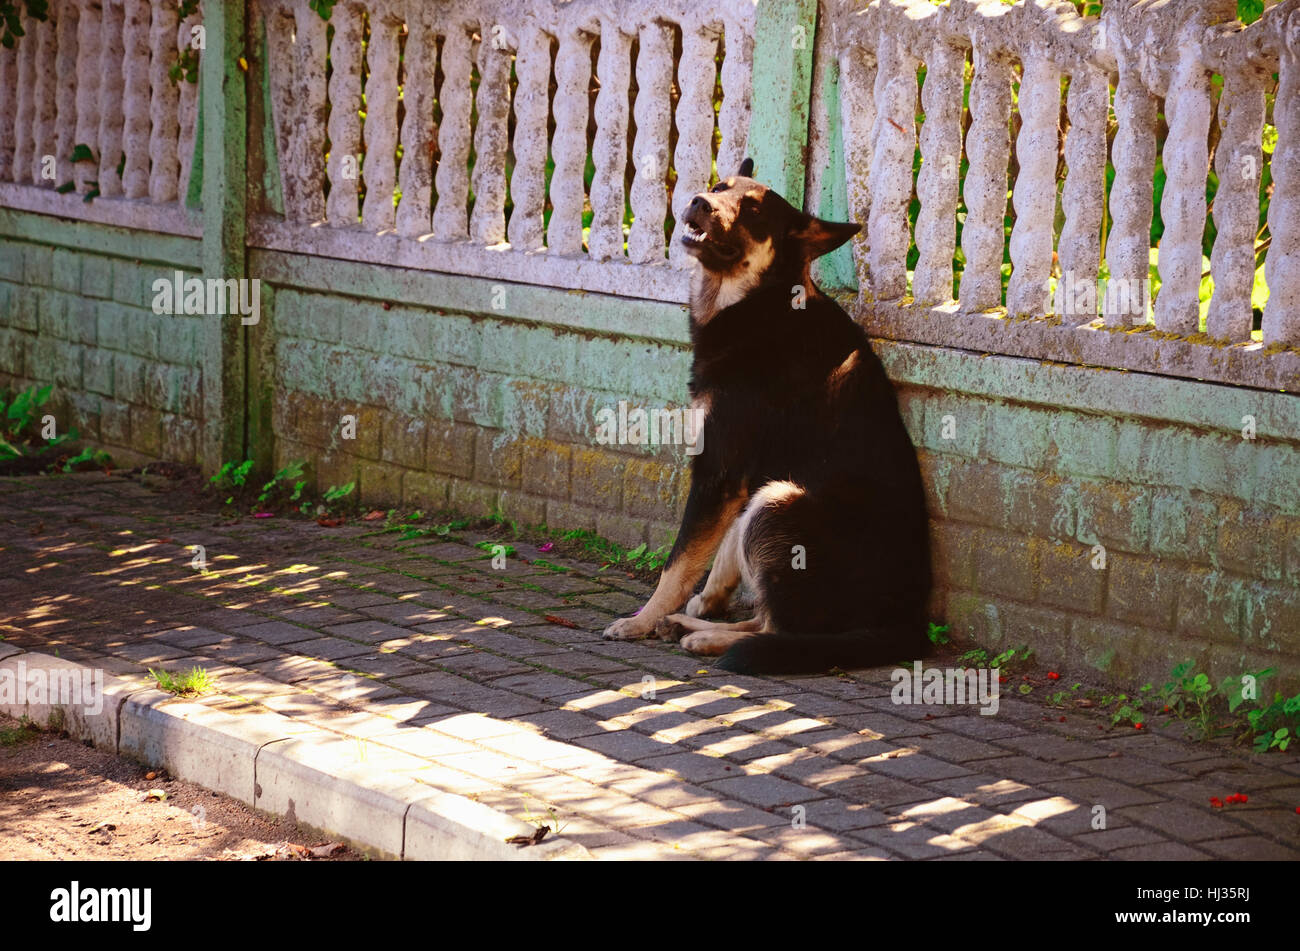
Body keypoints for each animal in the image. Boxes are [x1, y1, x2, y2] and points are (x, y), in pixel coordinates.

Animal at [603, 157, 930, 675]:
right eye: (721, 187)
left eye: (754, 212)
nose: (698, 201)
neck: (759, 304)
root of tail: (905, 626)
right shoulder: (739, 478)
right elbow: (720, 550)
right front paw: (705, 600)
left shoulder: (718, 472)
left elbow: (677, 565)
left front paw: (641, 620)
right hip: (768, 497)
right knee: (765, 620)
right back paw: (691, 625)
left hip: (777, 501)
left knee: (779, 631)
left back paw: (704, 638)